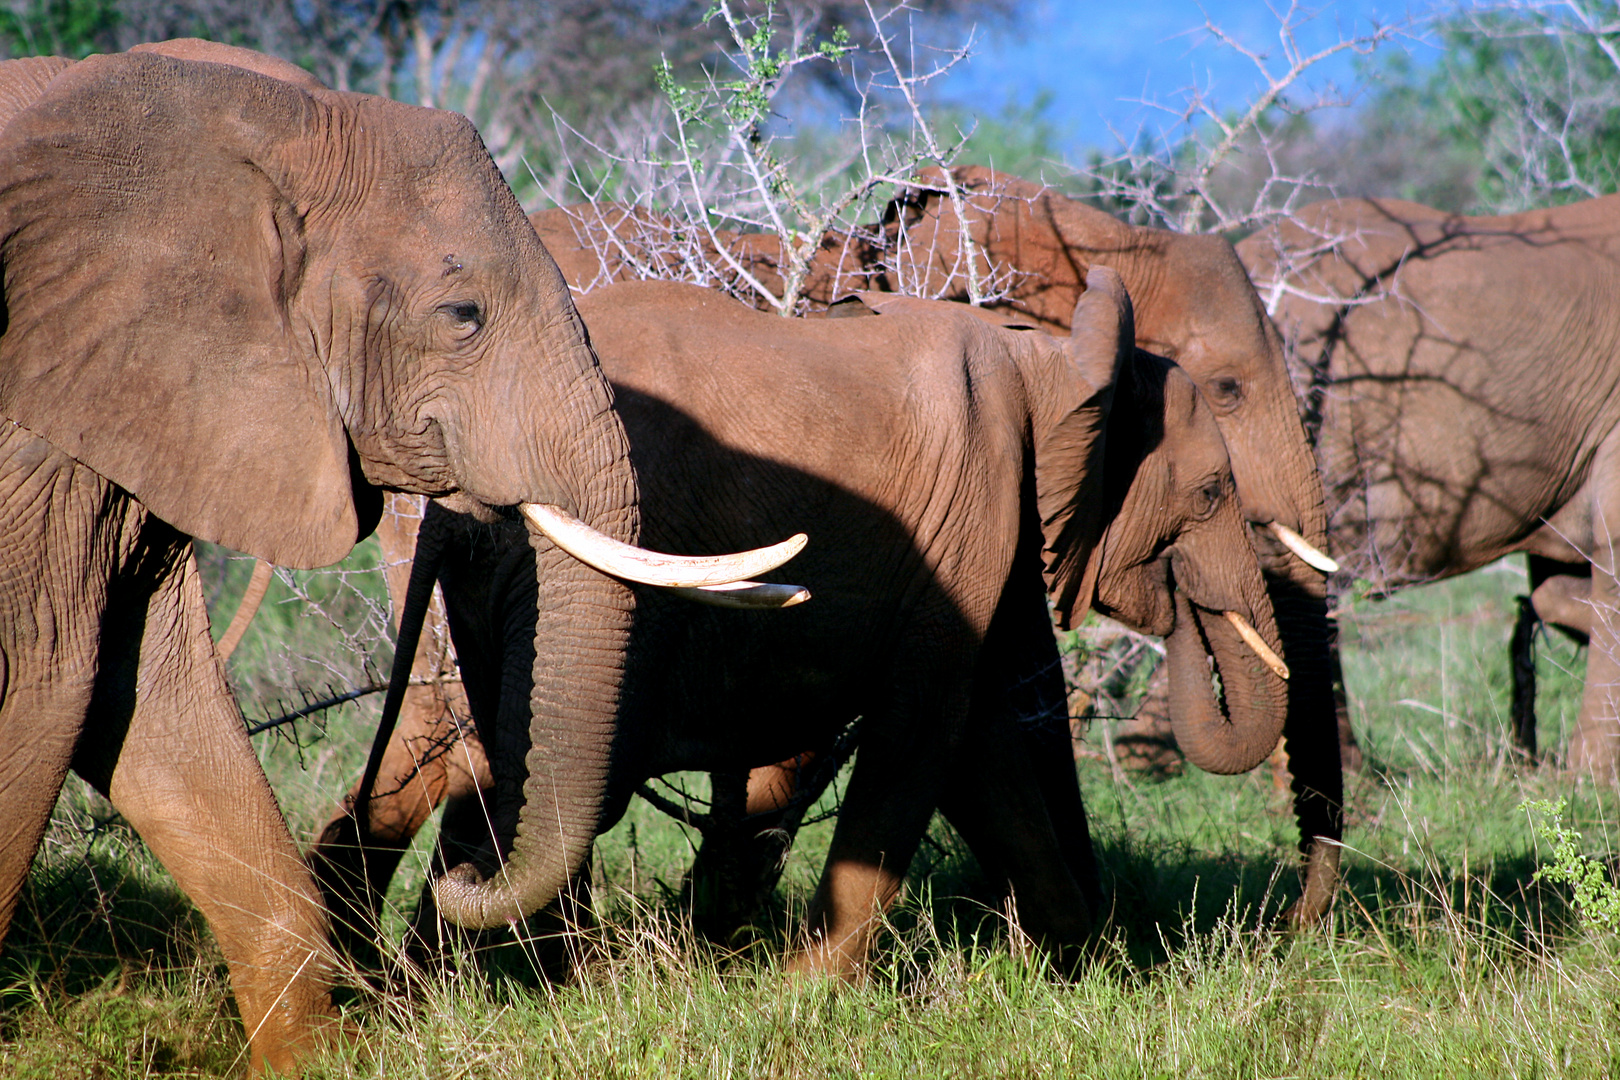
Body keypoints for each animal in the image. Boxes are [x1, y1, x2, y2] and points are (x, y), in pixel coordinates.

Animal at [309, 272, 1283, 977]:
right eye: (1210, 495)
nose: (1189, 610)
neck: (1046, 356)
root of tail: (447, 505)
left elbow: (979, 742)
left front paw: (1089, 966)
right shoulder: (975, 501)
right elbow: (927, 727)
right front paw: (804, 994)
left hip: (492, 584)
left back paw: (456, 985)